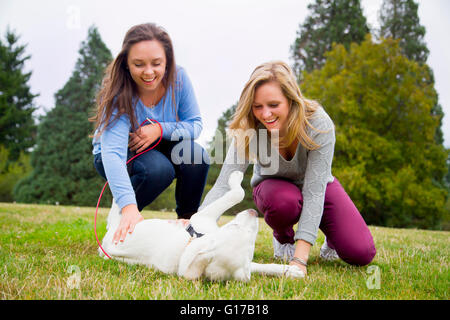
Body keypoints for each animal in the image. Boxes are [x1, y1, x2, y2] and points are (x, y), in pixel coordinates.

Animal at [100, 172, 304, 280]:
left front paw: (291, 270)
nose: (254, 213)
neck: (189, 244)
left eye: (252, 245)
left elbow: (262, 267)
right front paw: (236, 177)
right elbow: (236, 193)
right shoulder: (202, 216)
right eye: (232, 228)